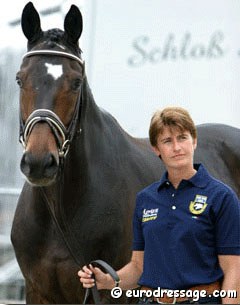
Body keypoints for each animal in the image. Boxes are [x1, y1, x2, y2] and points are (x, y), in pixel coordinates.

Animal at [11, 1, 240, 302]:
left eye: (76, 82)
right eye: (19, 79)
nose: (39, 163)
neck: (60, 214)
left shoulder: (112, 290)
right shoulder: (39, 292)